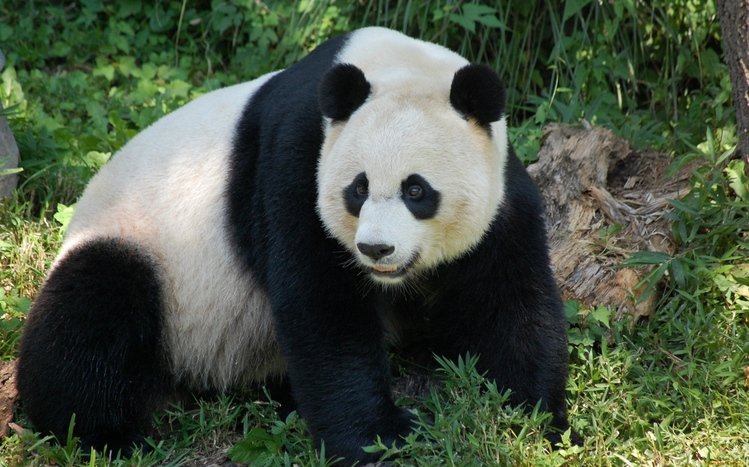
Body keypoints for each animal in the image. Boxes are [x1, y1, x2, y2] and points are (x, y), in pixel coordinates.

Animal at [17, 27, 572, 462]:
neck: (395, 66)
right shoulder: (297, 157)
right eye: (358, 189)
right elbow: (321, 303)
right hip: (141, 247)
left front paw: (534, 422)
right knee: (93, 311)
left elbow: (509, 297)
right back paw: (105, 435)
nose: (375, 250)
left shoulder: (500, 190)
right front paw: (383, 439)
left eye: (417, 190)